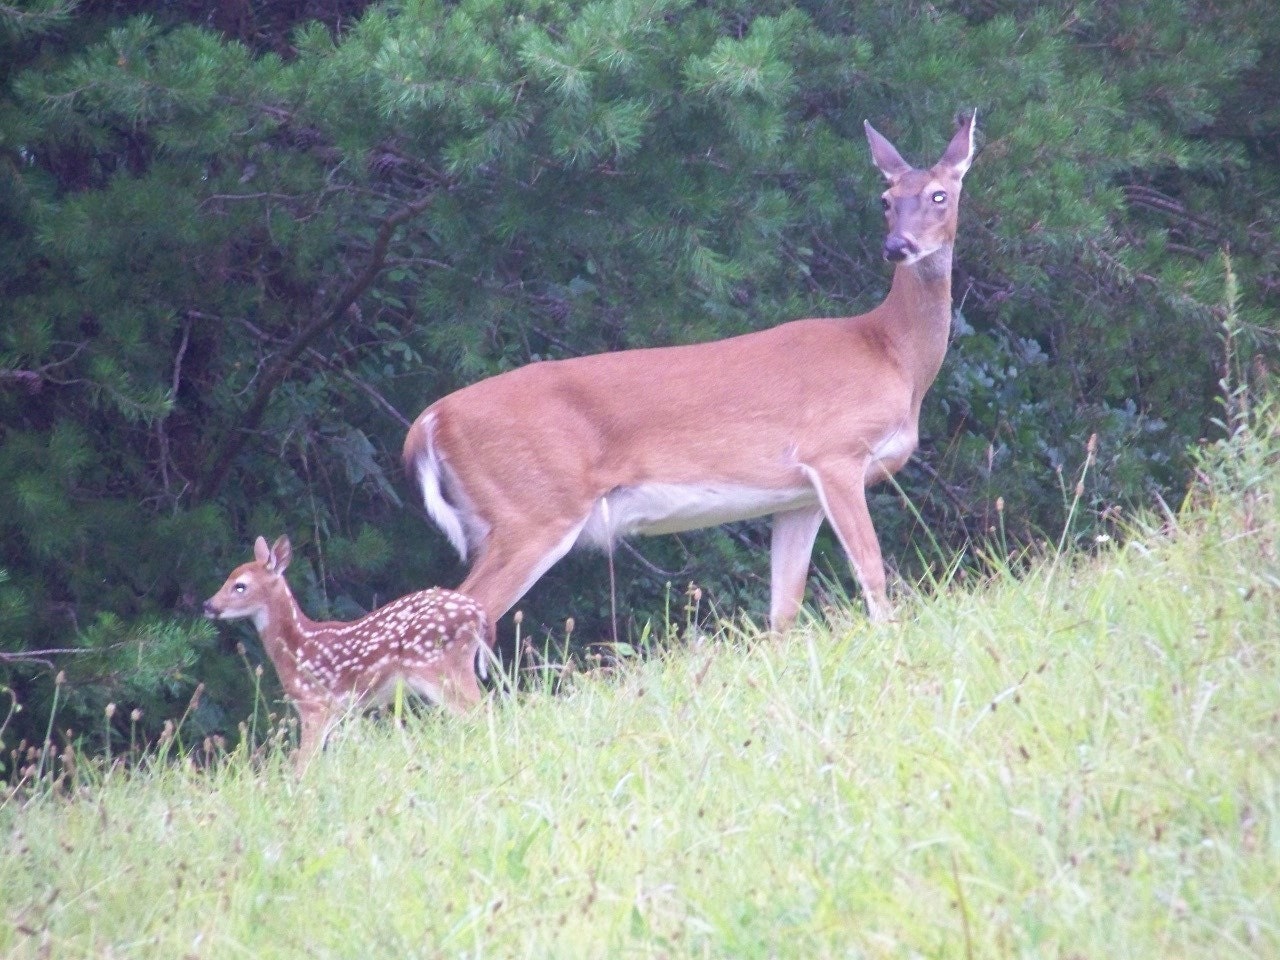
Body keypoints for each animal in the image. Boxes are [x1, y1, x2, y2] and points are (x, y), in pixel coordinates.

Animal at [203, 535, 486, 764]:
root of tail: (478, 614)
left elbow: (304, 767)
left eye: (240, 585)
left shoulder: (315, 704)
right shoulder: (339, 711)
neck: (296, 647)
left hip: (439, 668)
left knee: (480, 713)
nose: (208, 605)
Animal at [403, 112, 977, 640]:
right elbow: (873, 576)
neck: (891, 354)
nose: (897, 246)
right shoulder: (835, 451)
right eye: (885, 199)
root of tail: (429, 421)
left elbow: (782, 612)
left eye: (940, 195)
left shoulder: (798, 497)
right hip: (533, 510)